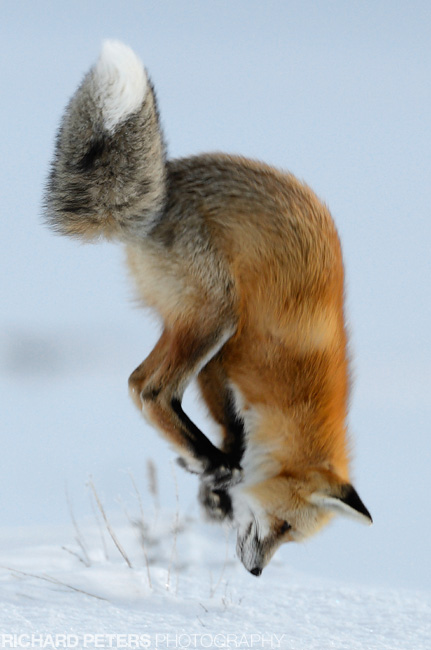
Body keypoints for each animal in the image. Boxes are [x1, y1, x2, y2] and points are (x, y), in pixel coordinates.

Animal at [44, 40, 372, 576]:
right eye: (283, 526)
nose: (257, 573)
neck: (297, 388)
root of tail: (167, 183)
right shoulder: (236, 355)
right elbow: (227, 433)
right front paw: (219, 475)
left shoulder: (220, 371)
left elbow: (230, 429)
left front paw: (215, 489)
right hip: (216, 316)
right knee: (150, 388)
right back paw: (212, 460)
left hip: (189, 321)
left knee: (142, 385)